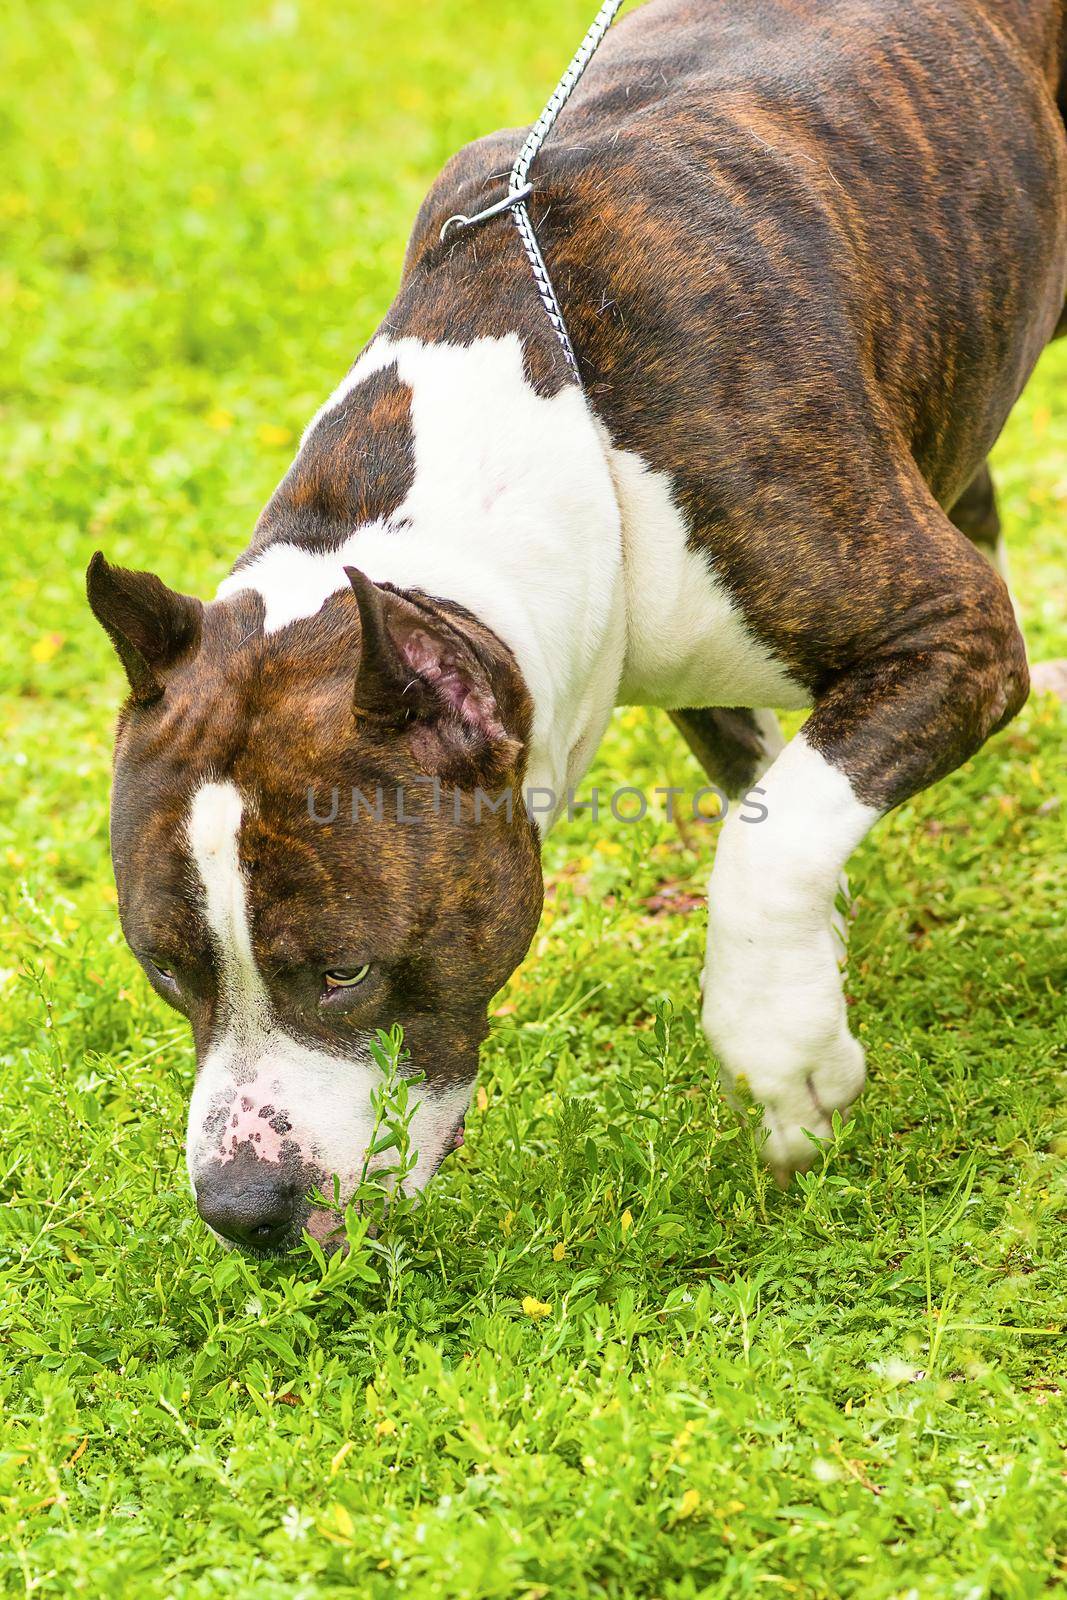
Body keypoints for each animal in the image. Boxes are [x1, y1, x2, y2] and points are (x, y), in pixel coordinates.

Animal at [87, 0, 1062, 1248]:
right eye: (164, 969)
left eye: (344, 973)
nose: (243, 1208)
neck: (557, 404)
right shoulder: (711, 682)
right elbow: (766, 799)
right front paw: (811, 985)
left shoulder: (950, 630)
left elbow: (769, 842)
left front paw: (780, 1048)